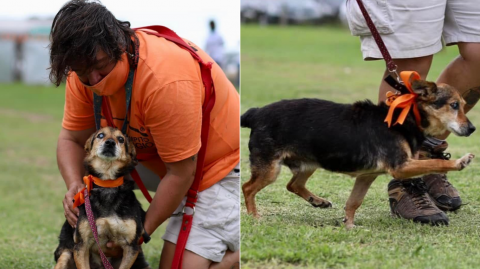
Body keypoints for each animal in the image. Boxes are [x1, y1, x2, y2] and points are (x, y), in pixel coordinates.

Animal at [54, 127, 150, 268]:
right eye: (100, 135)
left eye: (121, 139)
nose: (110, 142)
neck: (107, 183)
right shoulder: (81, 245)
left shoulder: (131, 247)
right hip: (65, 255)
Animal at [242, 78, 474, 227]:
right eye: (454, 105)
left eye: (463, 105)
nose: (472, 129)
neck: (409, 116)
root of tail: (256, 113)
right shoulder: (401, 166)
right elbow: (436, 163)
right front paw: (459, 162)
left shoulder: (367, 176)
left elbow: (353, 203)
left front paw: (349, 226)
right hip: (270, 168)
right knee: (248, 188)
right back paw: (254, 217)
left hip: (309, 163)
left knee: (293, 185)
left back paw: (318, 201)